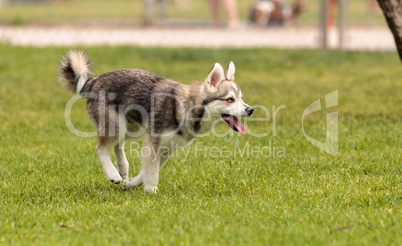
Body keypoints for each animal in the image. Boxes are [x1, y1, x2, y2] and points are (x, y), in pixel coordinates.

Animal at [59, 51, 254, 193]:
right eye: (230, 100)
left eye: (241, 98)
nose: (250, 110)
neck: (188, 107)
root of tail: (94, 80)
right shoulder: (154, 143)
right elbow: (152, 171)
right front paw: (151, 190)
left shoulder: (167, 148)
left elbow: (149, 169)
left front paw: (132, 183)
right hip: (116, 125)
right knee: (101, 148)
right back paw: (113, 174)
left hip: (132, 128)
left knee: (117, 145)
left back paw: (123, 168)